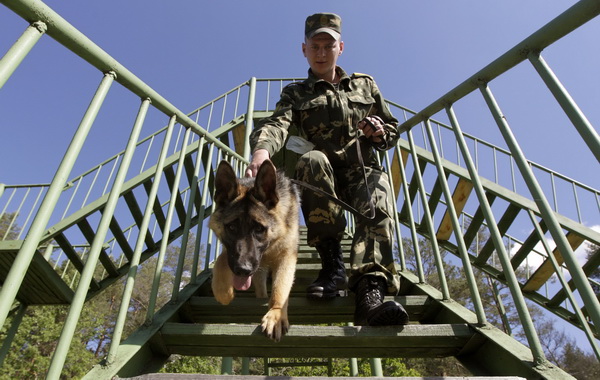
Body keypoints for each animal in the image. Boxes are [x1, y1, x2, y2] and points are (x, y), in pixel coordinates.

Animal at [209, 158, 300, 342]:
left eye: (259, 228)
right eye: (231, 227)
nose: (243, 270)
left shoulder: (286, 256)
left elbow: (280, 289)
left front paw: (276, 315)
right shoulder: (233, 254)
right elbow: (221, 261)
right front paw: (223, 292)